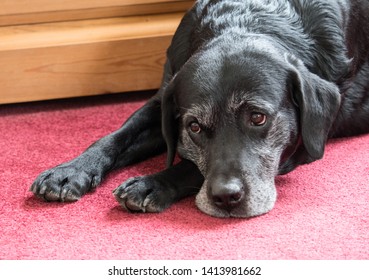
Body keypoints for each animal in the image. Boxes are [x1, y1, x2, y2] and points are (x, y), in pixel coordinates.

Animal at [29, 0, 368, 218]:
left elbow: (189, 166)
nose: (226, 197)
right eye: (194, 126)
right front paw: (70, 171)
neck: (243, 21)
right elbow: (115, 137)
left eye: (258, 117)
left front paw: (152, 183)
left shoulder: (301, 146)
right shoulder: (163, 100)